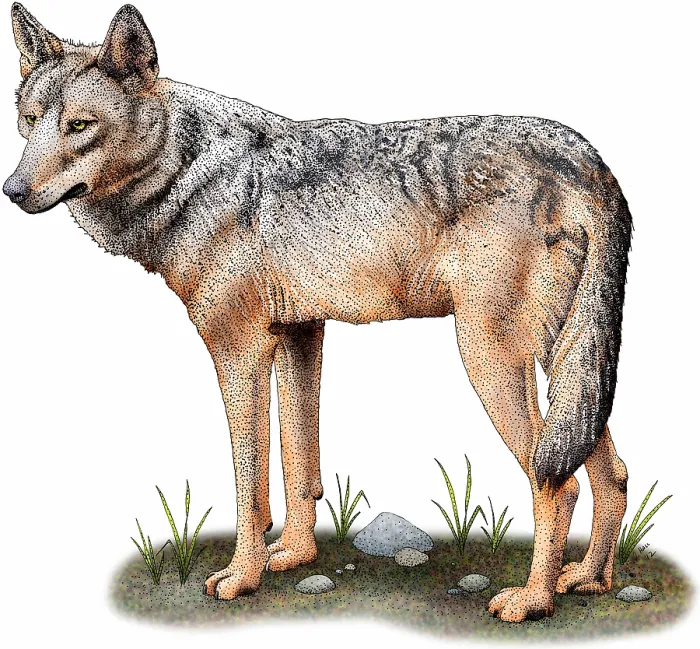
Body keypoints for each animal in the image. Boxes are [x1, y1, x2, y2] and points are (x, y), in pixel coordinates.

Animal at [4, 3, 632, 622]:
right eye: (29, 120)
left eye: (79, 126)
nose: (11, 190)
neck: (186, 173)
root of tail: (586, 156)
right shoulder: (299, 336)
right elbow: (298, 463)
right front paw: (293, 555)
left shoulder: (239, 352)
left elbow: (250, 482)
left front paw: (242, 577)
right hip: (564, 365)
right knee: (612, 473)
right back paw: (589, 580)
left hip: (491, 360)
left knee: (560, 485)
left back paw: (533, 600)